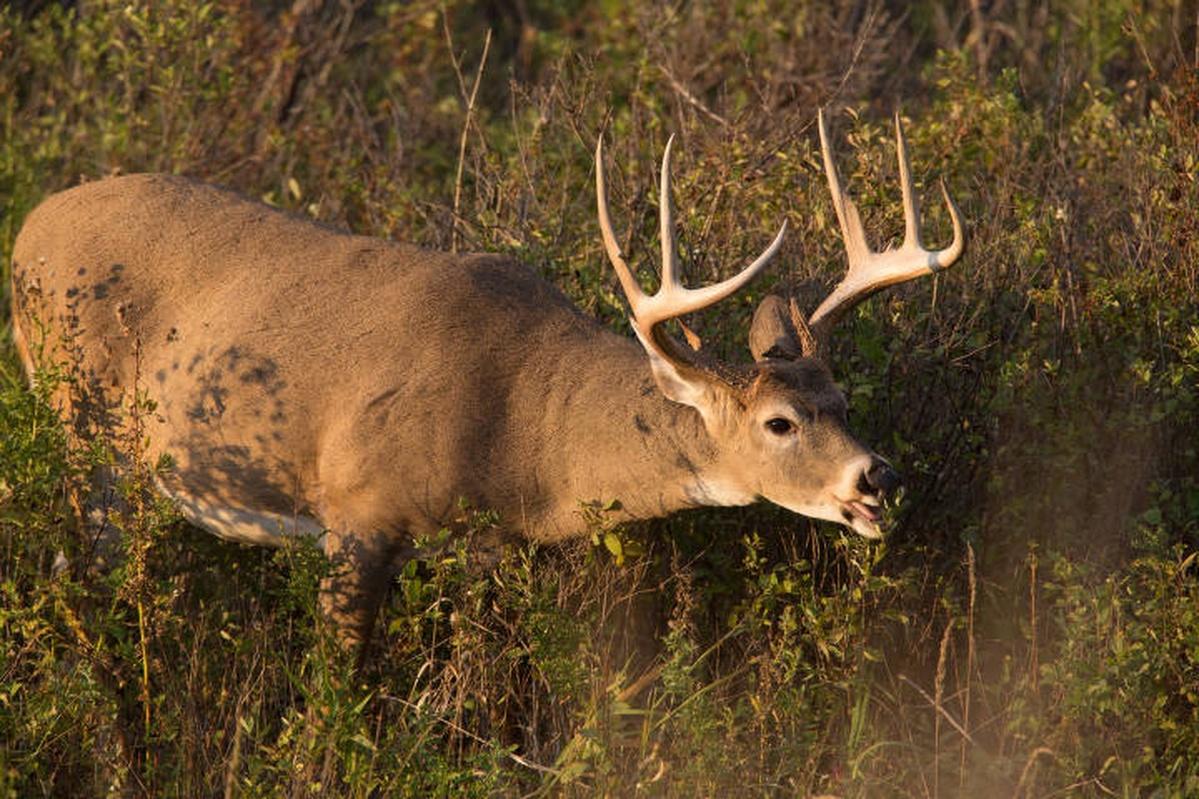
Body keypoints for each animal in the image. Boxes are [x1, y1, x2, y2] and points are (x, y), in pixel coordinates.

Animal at [11, 110, 963, 643]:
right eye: (778, 423)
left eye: (840, 400)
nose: (876, 477)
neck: (522, 431)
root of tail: (25, 228)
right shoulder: (355, 514)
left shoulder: (483, 547)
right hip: (83, 431)